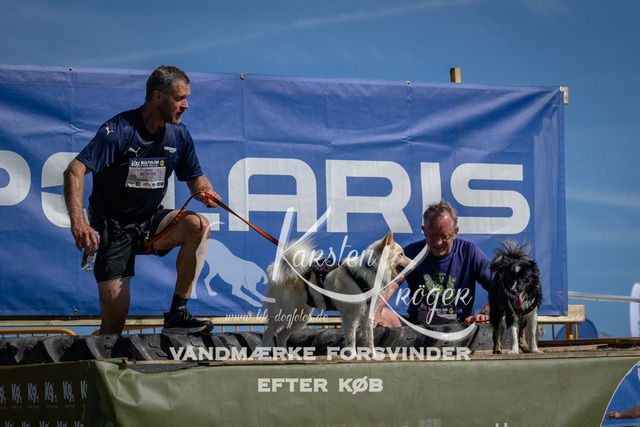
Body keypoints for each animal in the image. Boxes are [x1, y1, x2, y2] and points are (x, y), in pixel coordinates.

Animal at [261, 231, 410, 355]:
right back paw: (264, 357)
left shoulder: (368, 315)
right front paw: (353, 356)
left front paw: (372, 355)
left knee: (281, 336)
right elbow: (351, 338)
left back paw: (286, 357)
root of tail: (286, 269)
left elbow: (370, 338)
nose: (413, 263)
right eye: (401, 254)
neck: (372, 267)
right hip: (284, 312)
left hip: (300, 316)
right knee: (267, 335)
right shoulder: (351, 315)